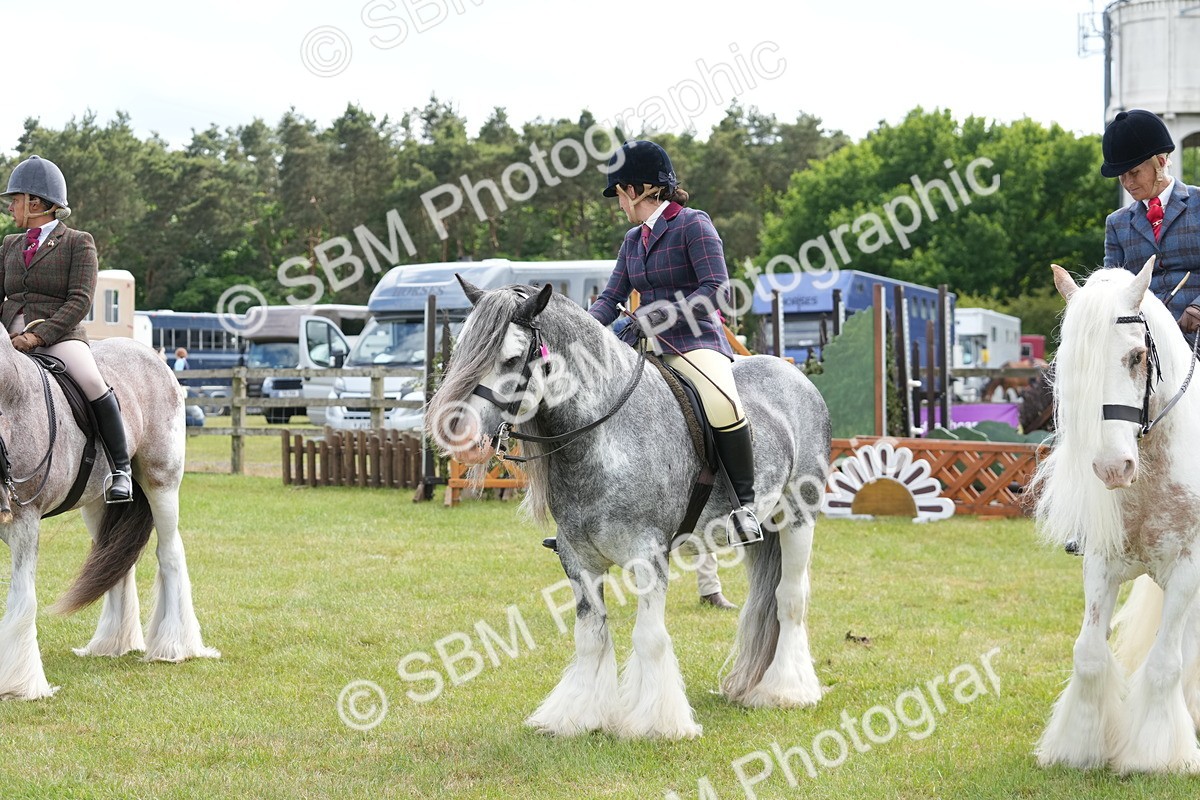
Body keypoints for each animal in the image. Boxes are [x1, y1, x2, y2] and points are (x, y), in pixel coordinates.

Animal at [0, 335, 219, 700]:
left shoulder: (25, 522)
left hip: (162, 483)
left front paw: (19, 684)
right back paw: (113, 644)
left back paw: (175, 647)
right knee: (114, 561)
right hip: (96, 504)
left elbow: (23, 597)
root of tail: (149, 353)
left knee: (170, 554)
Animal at [426, 278, 831, 739]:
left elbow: (649, 638)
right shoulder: (577, 560)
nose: (456, 431)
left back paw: (786, 691)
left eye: (511, 358)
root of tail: (795, 376)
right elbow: (590, 636)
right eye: (462, 349)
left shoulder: (648, 556)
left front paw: (658, 723)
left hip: (798, 518)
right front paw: (577, 717)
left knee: (790, 598)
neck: (602, 435)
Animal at [1032, 258, 1200, 772]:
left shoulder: (1188, 569)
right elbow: (1088, 653)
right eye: (1072, 367)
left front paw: (1155, 756)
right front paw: (1079, 746)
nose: (1112, 467)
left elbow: (1165, 663)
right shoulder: (1102, 563)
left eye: (1136, 357)